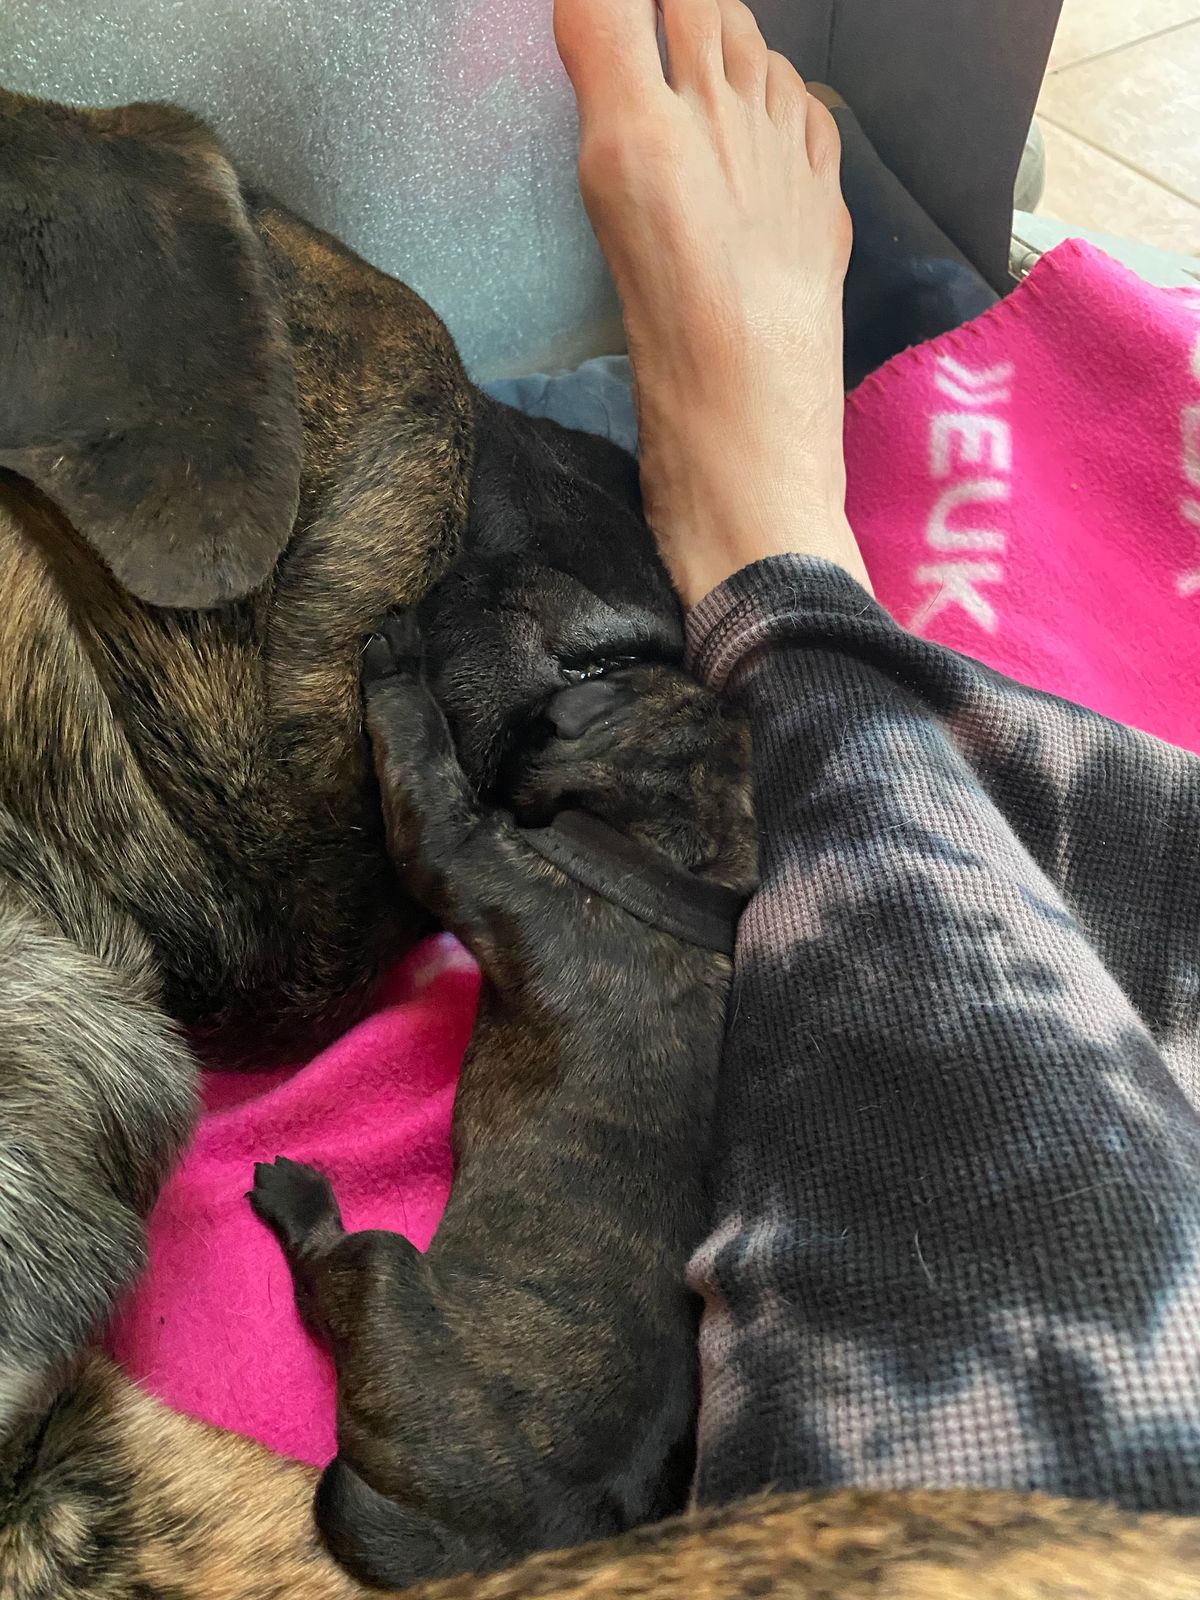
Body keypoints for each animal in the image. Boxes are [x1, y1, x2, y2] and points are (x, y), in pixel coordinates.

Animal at [248, 611, 756, 1587]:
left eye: (605, 673)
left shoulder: (460, 850)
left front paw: (401, 670)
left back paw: (299, 1198)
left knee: (327, 1274)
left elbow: (422, 772)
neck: (667, 854)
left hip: (382, 1275)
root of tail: (481, 1549)